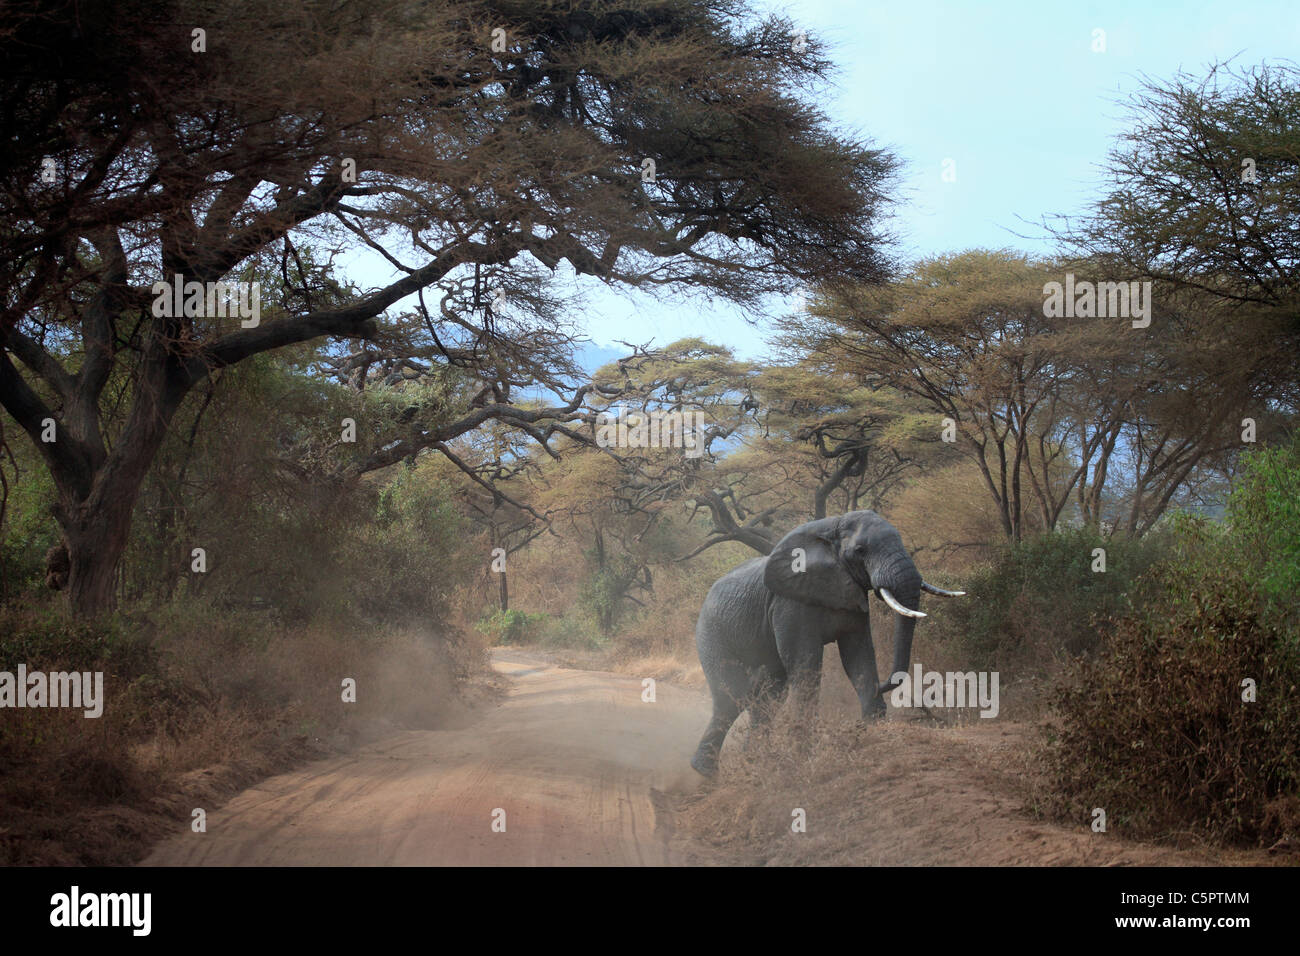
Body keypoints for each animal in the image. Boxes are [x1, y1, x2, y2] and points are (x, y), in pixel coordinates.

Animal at [690, 510, 964, 776]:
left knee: (768, 698)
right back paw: (707, 772)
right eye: (860, 550)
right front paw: (803, 752)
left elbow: (858, 655)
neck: (832, 528)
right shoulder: (789, 603)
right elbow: (807, 663)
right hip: (712, 634)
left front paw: (872, 728)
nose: (886, 684)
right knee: (730, 697)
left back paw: (754, 761)